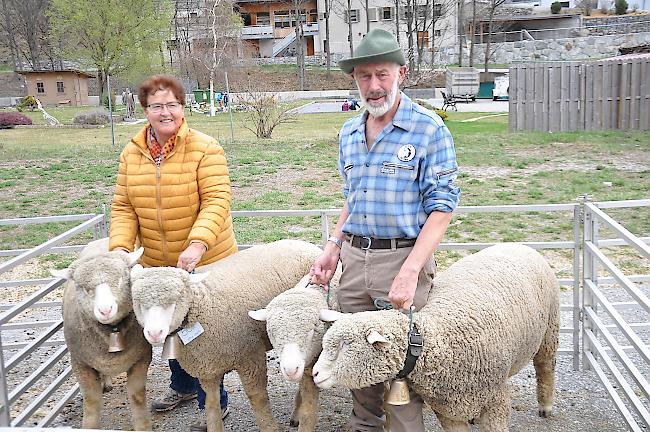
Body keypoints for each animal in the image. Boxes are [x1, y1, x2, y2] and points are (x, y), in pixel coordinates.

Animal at [50, 238, 149, 430]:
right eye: (83, 287)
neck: (112, 329)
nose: (105, 310)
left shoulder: (141, 359)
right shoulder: (81, 364)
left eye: (121, 279)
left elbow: (137, 396)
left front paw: (143, 427)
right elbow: (91, 402)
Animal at [129, 240, 324, 432]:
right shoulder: (207, 369)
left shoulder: (250, 356)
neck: (202, 304)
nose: (154, 333)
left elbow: (258, 398)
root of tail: (306, 244)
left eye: (176, 300)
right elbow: (211, 403)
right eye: (137, 302)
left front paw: (269, 427)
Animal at [308, 243, 556, 432]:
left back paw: (546, 407)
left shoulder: (496, 402)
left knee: (545, 367)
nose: (315, 373)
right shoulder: (448, 409)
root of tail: (518, 244)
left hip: (550, 331)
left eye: (345, 346)